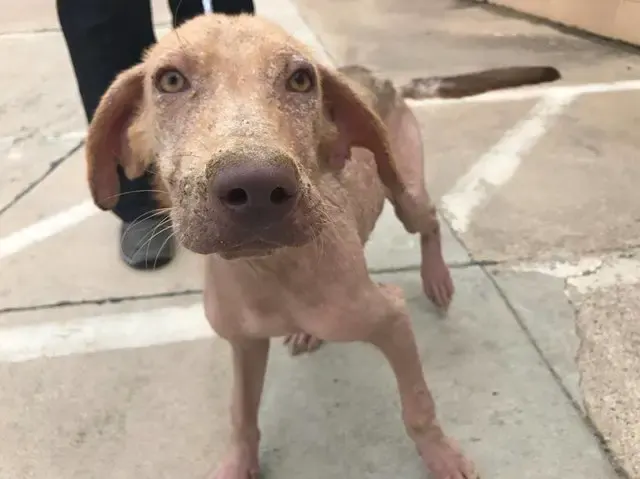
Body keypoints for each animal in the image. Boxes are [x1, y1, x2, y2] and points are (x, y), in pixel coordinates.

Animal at [85, 13, 560, 478]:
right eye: (170, 80)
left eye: (300, 79)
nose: (257, 188)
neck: (271, 272)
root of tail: (373, 76)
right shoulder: (244, 344)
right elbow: (242, 415)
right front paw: (239, 464)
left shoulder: (391, 317)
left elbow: (418, 407)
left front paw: (442, 457)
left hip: (406, 194)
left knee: (429, 222)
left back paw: (436, 278)